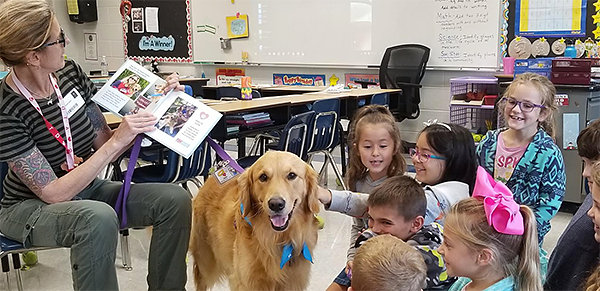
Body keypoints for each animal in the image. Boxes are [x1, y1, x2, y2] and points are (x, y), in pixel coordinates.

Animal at [191, 152, 324, 290]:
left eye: (291, 175)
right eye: (263, 177)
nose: (276, 204)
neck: (277, 240)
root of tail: (215, 173)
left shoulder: (293, 282)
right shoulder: (246, 281)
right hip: (205, 261)